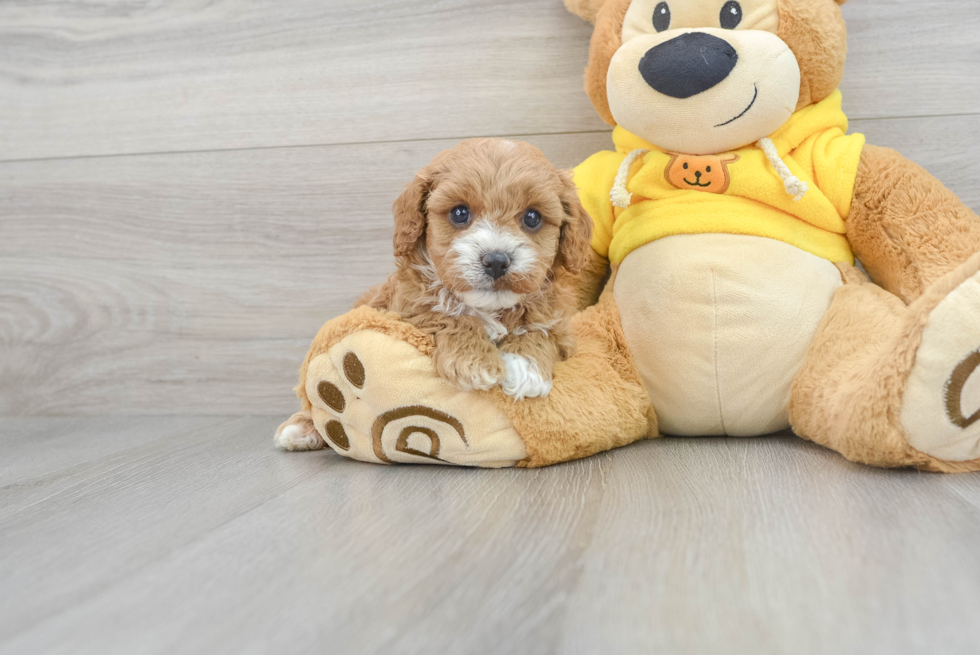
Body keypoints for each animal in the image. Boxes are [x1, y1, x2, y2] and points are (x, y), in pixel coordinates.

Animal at [360, 140, 588, 400]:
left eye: (532, 217)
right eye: (459, 213)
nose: (496, 261)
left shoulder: (562, 328)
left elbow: (544, 331)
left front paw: (526, 367)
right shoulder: (404, 308)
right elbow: (445, 315)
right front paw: (474, 360)